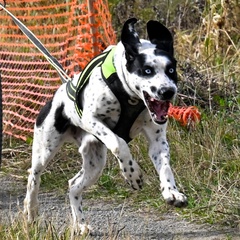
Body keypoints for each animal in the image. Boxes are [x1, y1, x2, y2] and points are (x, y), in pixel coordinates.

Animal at [23, 18, 188, 234]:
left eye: (171, 70)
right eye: (147, 70)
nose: (167, 91)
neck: (130, 97)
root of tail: (57, 94)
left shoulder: (157, 141)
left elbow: (166, 166)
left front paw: (171, 192)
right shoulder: (91, 119)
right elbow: (119, 143)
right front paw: (132, 174)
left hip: (94, 163)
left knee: (73, 185)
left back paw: (81, 224)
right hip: (45, 149)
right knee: (34, 177)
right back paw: (31, 211)